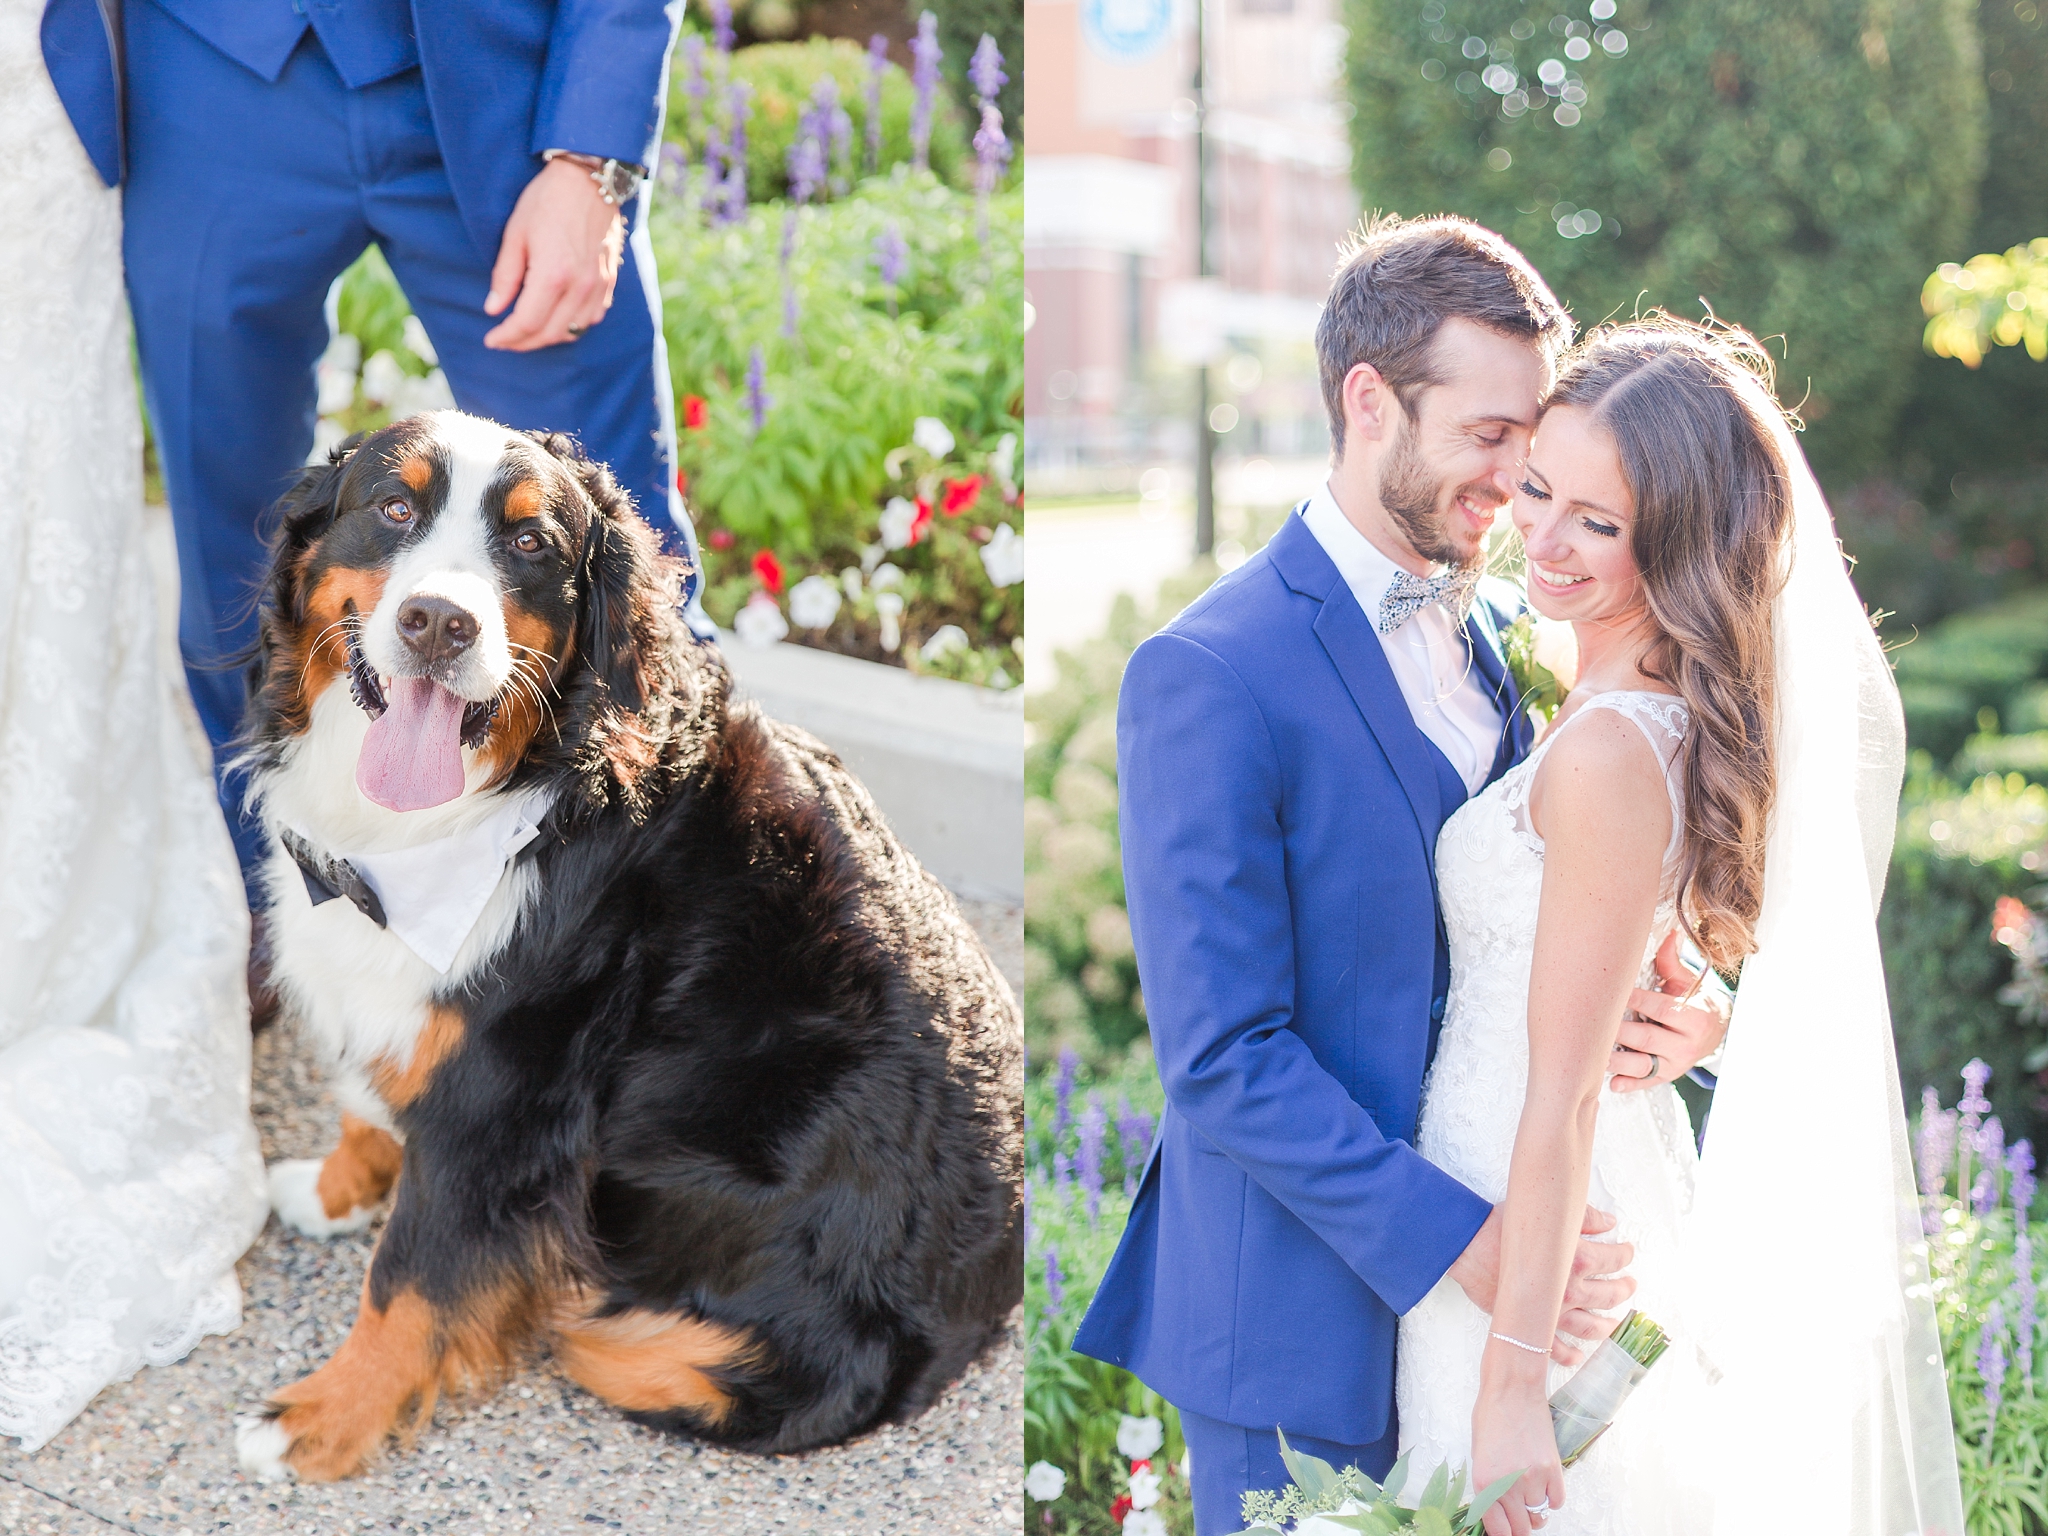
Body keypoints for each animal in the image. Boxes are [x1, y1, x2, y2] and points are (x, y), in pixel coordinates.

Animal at [232, 405, 1024, 1482]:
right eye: (393, 507)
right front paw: (337, 1184)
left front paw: (323, 1418)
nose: (439, 622)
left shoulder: (504, 1100)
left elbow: (410, 1281)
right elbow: (371, 1097)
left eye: (531, 542)